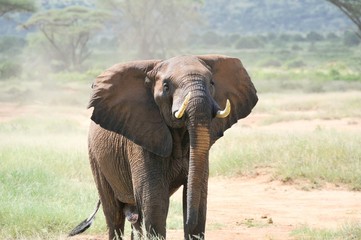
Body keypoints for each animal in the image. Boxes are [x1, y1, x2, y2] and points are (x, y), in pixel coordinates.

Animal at [69, 54, 258, 240]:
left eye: (212, 83)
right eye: (166, 86)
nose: (187, 222)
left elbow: (199, 197)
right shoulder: (142, 137)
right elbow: (155, 202)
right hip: (96, 159)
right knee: (114, 216)